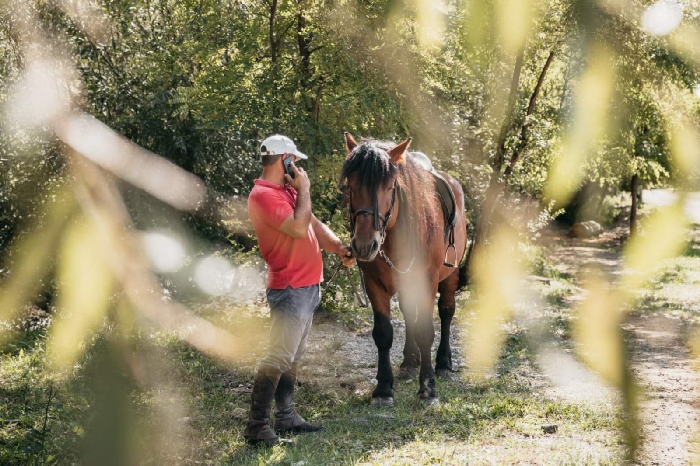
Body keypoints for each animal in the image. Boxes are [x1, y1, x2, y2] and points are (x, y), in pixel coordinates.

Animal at [340, 133, 468, 407]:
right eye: (350, 186)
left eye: (390, 188)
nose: (364, 244)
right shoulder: (374, 284)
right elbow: (383, 333)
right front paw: (383, 389)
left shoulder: (427, 282)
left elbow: (426, 330)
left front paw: (428, 389)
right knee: (410, 315)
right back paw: (410, 362)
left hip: (449, 276)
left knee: (446, 312)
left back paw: (443, 363)